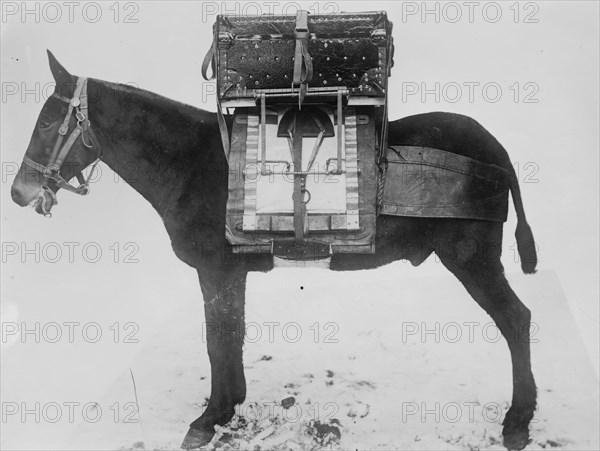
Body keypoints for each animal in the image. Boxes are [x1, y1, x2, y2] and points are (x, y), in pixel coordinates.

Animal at [11, 52, 536, 448]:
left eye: (47, 124)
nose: (18, 193)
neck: (192, 162)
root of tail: (496, 150)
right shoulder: (232, 272)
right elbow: (232, 334)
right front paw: (231, 403)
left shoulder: (216, 271)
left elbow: (218, 337)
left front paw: (211, 416)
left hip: (471, 258)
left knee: (516, 319)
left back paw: (519, 418)